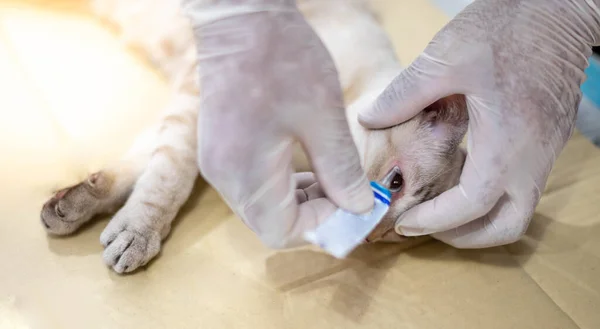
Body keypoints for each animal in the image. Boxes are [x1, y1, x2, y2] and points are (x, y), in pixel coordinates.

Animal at [39, 0, 468, 272]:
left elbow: (147, 160)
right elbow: (171, 176)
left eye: (394, 235)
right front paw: (138, 232)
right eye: (396, 182)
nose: (369, 238)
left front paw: (77, 206)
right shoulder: (207, 87)